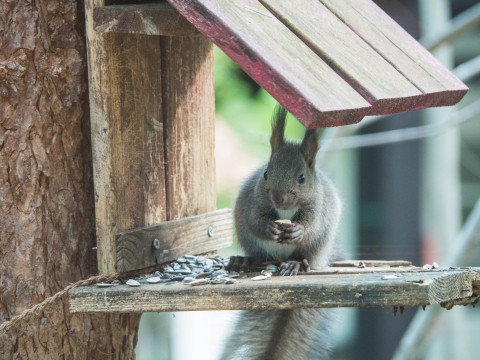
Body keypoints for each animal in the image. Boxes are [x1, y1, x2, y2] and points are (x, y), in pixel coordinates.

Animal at [221, 105, 342, 360]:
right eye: (266, 173)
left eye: (302, 178)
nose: (278, 198)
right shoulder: (254, 200)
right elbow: (255, 220)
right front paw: (269, 227)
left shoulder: (317, 207)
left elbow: (311, 226)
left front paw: (297, 231)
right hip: (254, 245)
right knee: (259, 255)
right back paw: (244, 261)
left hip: (318, 246)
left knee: (306, 257)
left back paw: (296, 264)